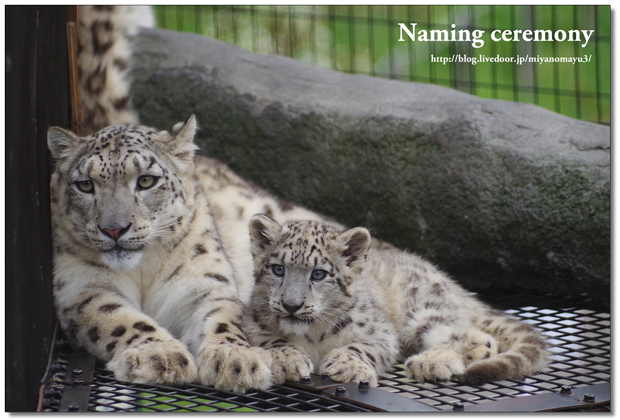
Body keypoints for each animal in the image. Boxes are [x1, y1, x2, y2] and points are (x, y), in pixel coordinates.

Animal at [245, 217, 548, 388]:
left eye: (318, 274)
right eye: (278, 269)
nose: (291, 305)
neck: (312, 335)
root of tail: (452, 284)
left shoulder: (381, 333)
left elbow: (362, 347)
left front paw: (347, 367)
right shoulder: (252, 323)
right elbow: (269, 339)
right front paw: (288, 360)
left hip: (420, 311)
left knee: (469, 337)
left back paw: (430, 363)